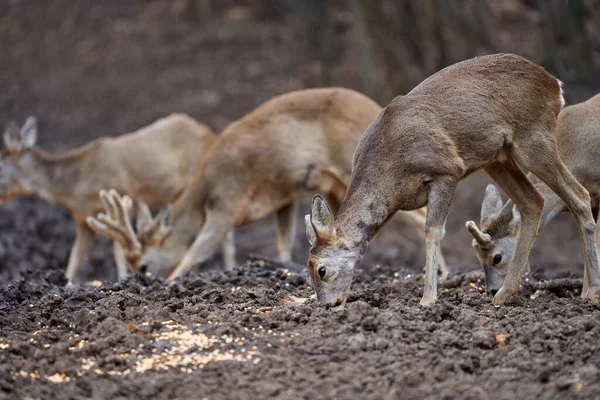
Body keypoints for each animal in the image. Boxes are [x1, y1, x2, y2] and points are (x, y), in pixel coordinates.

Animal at [0, 112, 223, 282]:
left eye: (0, 166)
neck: (76, 187)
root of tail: (210, 133)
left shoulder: (124, 194)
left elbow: (118, 252)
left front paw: (123, 280)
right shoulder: (83, 220)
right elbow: (75, 259)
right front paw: (65, 285)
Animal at [86, 87, 448, 280]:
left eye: (144, 265)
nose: (139, 280)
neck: (204, 186)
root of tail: (375, 108)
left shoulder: (228, 203)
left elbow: (196, 252)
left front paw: (172, 281)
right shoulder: (282, 196)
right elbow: (283, 240)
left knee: (417, 213)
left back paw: (441, 273)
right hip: (336, 187)